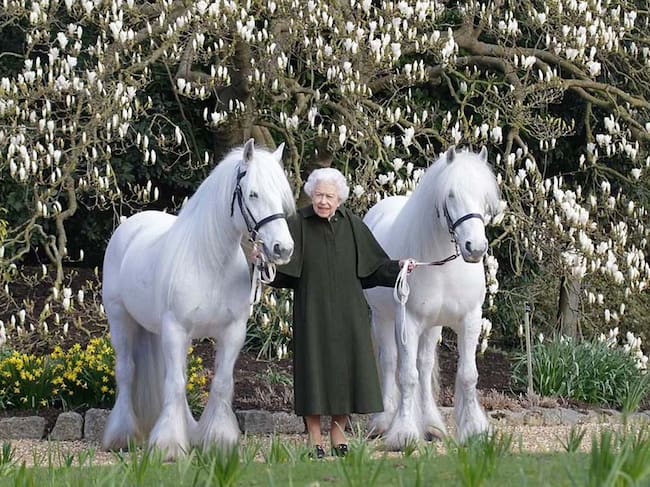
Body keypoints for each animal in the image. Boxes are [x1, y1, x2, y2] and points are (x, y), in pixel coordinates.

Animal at [101, 139, 295, 459]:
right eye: (253, 194)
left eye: (281, 197)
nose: (283, 248)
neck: (210, 262)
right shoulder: (176, 329)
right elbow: (175, 384)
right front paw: (168, 446)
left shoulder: (232, 332)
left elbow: (221, 383)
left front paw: (218, 440)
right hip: (121, 320)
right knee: (127, 372)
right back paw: (122, 436)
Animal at [363, 146, 502, 450]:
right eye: (451, 195)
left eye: (484, 197)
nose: (475, 248)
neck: (442, 265)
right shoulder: (409, 322)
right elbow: (407, 376)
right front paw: (403, 434)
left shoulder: (470, 319)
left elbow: (467, 375)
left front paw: (474, 430)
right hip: (383, 318)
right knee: (390, 362)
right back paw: (384, 422)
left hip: (432, 326)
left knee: (425, 367)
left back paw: (431, 425)